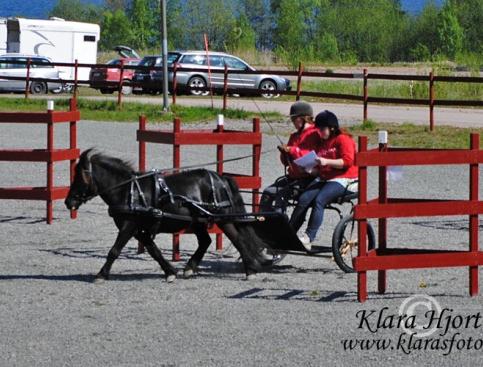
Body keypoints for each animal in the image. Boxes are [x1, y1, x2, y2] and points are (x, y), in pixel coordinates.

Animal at [65, 151, 272, 284]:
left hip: (222, 218)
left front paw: (101, 274)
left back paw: (250, 271)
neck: (127, 191)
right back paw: (189, 268)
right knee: (205, 241)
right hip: (197, 221)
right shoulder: (140, 230)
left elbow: (114, 250)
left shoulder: (129, 226)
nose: (68, 201)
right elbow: (154, 250)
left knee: (238, 240)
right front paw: (170, 272)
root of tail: (221, 178)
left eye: (80, 176)